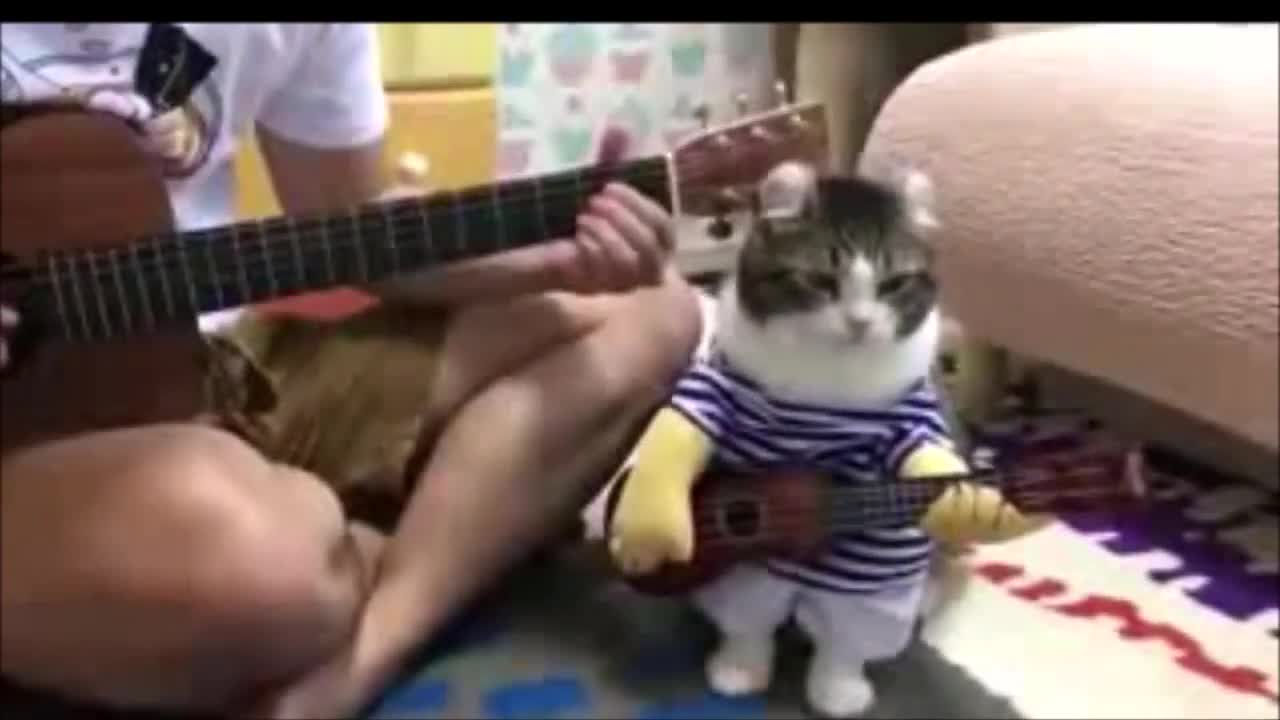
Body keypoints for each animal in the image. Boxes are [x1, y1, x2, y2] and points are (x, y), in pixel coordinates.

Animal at [680, 159, 962, 712]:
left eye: (894, 283)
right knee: (750, 607)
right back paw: (742, 663)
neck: (827, 374)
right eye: (819, 280)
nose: (859, 322)